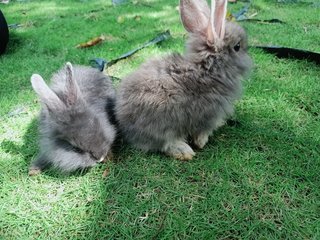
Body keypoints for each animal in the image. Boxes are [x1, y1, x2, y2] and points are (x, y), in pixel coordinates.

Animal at [115, 0, 252, 161]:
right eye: (237, 47)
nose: (250, 60)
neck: (208, 69)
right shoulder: (209, 115)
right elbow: (202, 131)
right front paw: (201, 142)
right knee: (165, 143)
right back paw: (184, 151)